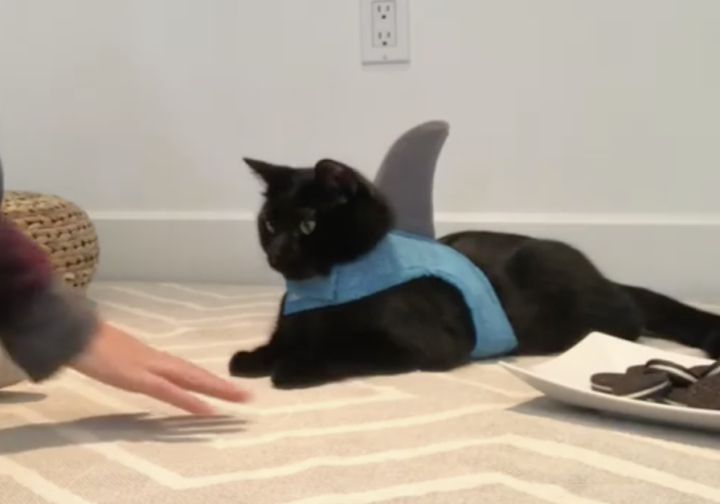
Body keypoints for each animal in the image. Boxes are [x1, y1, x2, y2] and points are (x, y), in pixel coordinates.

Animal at [229, 157, 720, 389]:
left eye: (308, 224)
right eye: (269, 223)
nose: (277, 250)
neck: (323, 293)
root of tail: (605, 277)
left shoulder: (424, 345)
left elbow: (345, 350)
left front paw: (293, 367)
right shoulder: (293, 325)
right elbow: (281, 342)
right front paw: (252, 358)